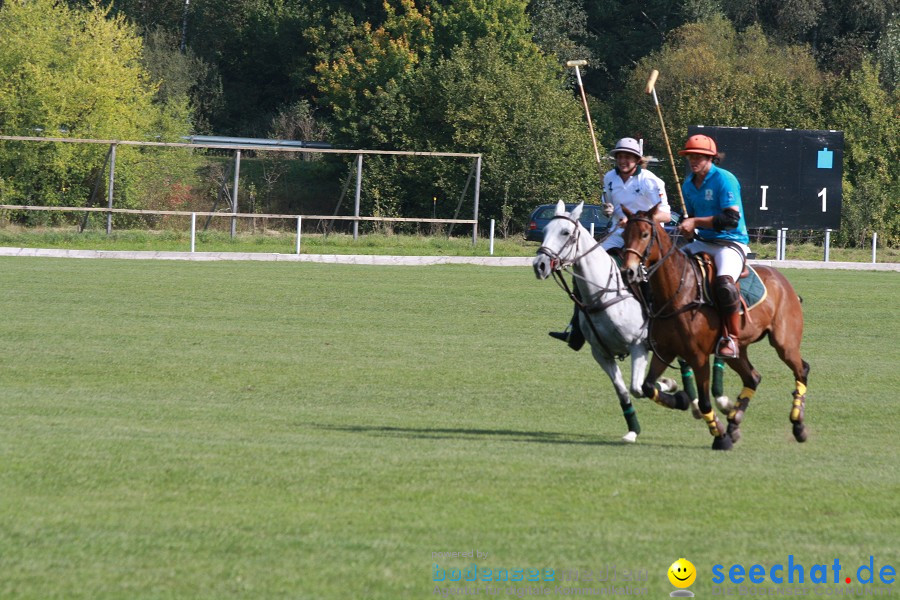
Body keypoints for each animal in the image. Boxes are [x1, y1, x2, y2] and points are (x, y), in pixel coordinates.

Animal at [620, 204, 808, 448]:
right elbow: (648, 386)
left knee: (801, 370)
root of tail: (783, 281)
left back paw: (798, 425)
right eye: (624, 234)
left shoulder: (698, 357)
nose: (628, 272)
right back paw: (734, 423)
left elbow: (704, 402)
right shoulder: (665, 351)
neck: (677, 292)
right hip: (738, 351)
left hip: (785, 342)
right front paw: (680, 400)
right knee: (753, 377)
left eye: (644, 234)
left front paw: (719, 437)